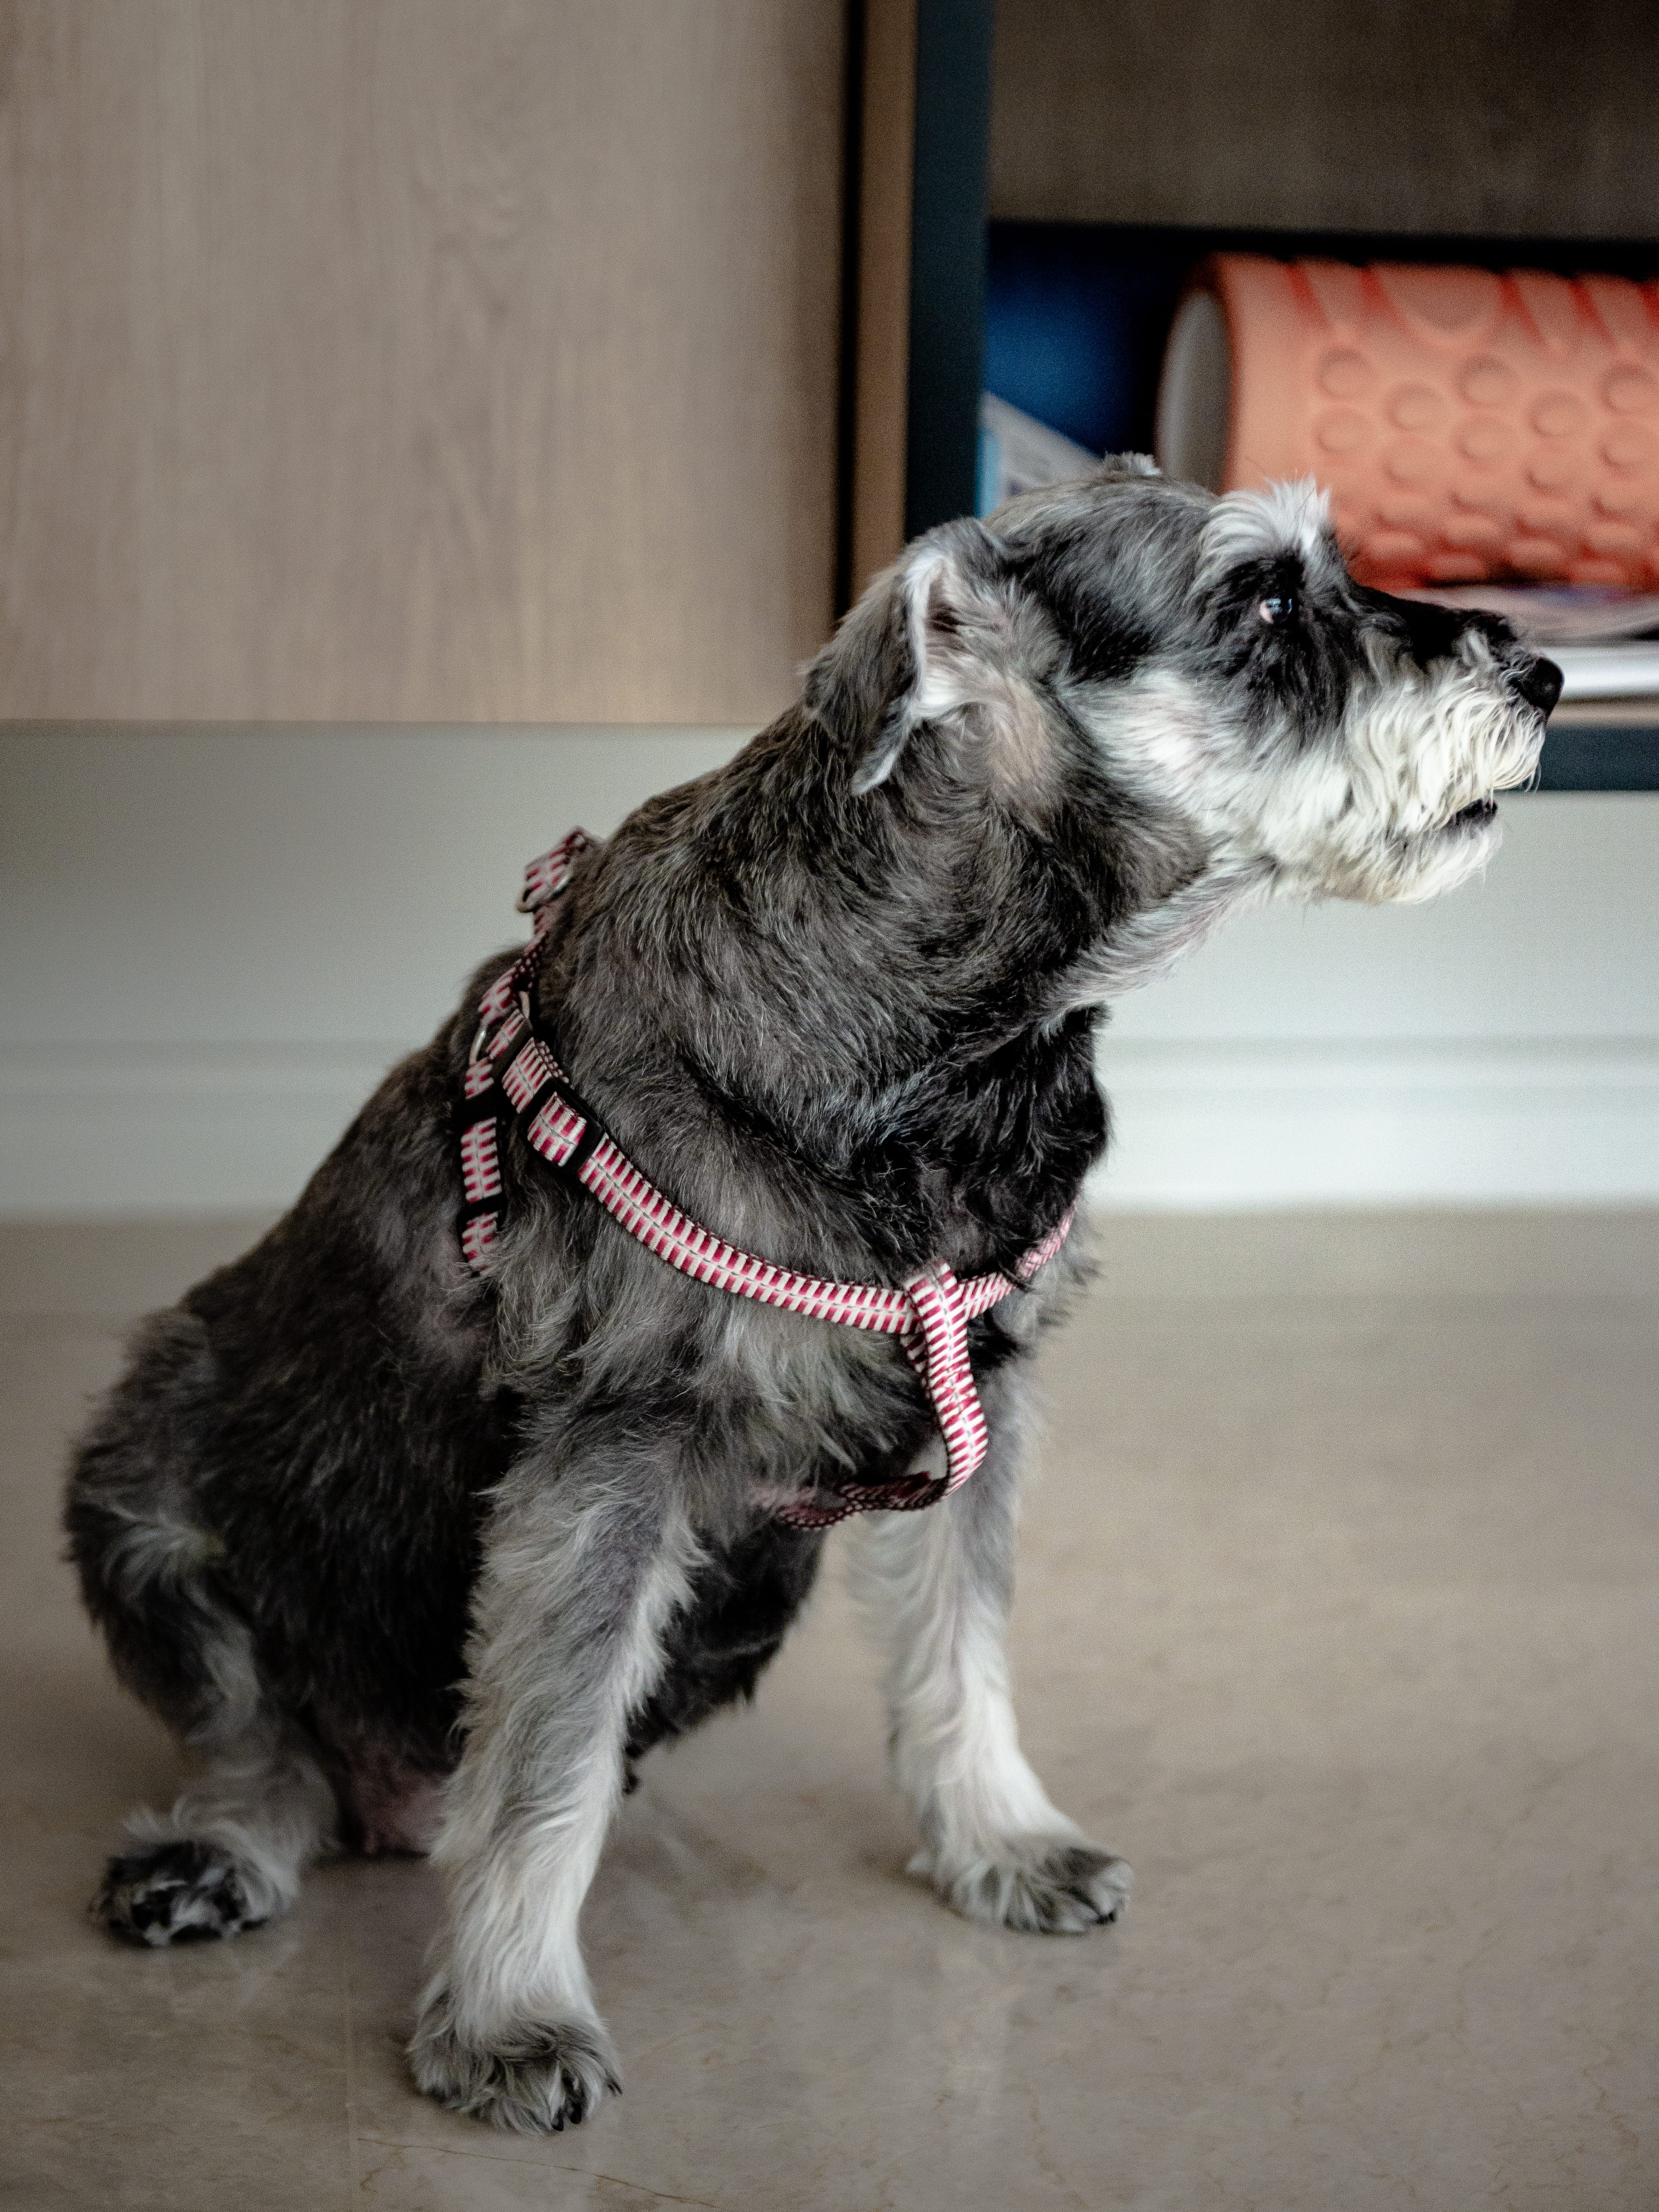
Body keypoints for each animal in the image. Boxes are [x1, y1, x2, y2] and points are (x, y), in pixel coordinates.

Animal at [62, 462, 1557, 2123]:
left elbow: (964, 1651)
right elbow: (542, 1760)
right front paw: (512, 2016)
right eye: (1270, 597)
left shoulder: (983, 1391)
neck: (949, 1044)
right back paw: (212, 1851)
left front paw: (1001, 1840)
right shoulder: (613, 1449)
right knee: (253, 1736)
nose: (1544, 676)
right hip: (139, 1475)